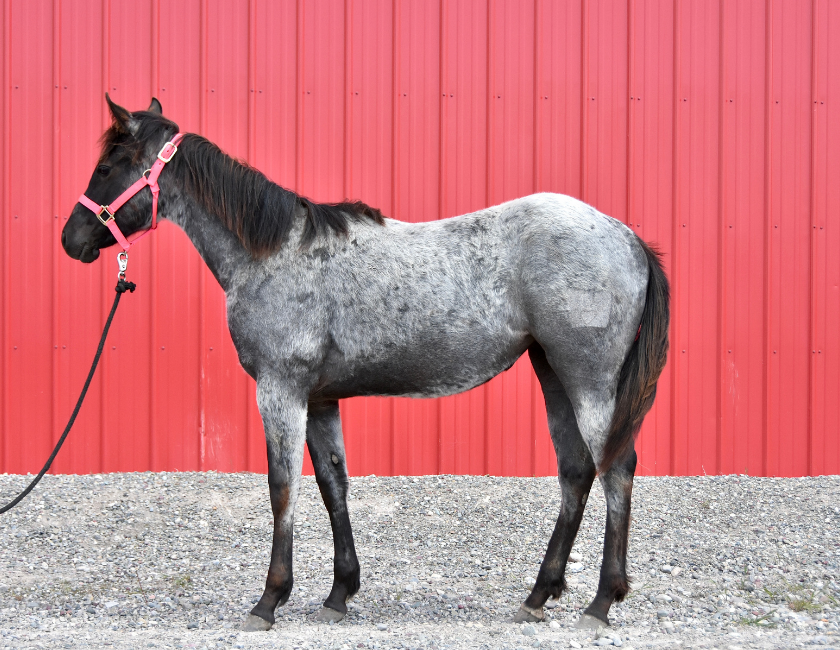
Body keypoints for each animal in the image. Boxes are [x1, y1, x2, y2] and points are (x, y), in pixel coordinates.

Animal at [61, 96, 669, 632]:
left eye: (107, 166)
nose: (72, 239)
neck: (275, 253)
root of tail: (627, 237)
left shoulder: (280, 390)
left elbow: (282, 487)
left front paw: (269, 600)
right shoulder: (320, 398)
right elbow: (334, 483)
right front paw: (339, 593)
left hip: (590, 380)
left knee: (616, 468)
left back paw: (601, 603)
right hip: (554, 374)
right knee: (576, 471)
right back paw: (539, 595)